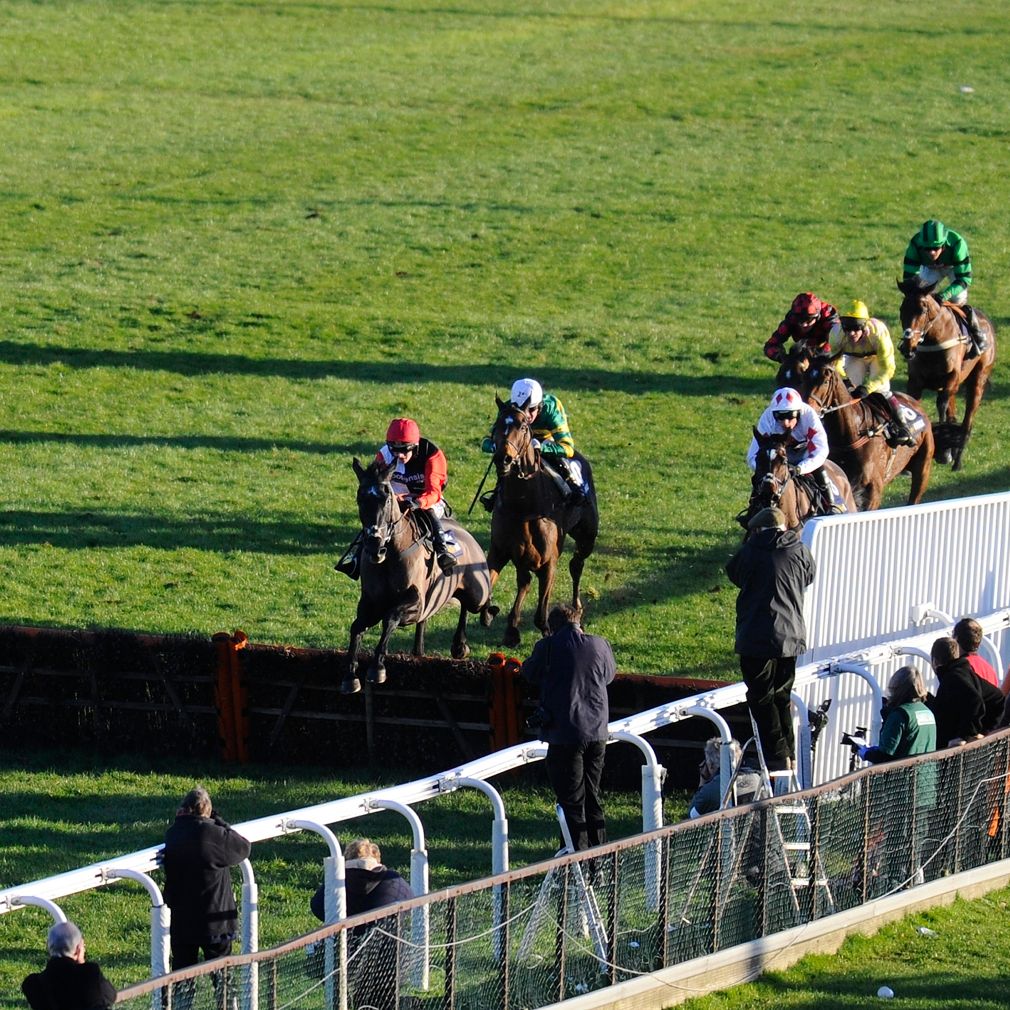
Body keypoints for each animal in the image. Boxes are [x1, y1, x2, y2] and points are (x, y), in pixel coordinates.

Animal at [342, 457, 496, 694]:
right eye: (360, 498)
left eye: (387, 498)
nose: (374, 545)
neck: (391, 556)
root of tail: (467, 534)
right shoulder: (370, 602)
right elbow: (356, 627)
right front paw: (350, 676)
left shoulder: (415, 603)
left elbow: (390, 618)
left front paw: (377, 668)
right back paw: (449, 646)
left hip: (476, 591)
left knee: (479, 601)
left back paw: (481, 622)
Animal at [485, 397, 599, 647]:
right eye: (496, 426)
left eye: (523, 426)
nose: (503, 458)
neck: (523, 505)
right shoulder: (500, 551)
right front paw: (498, 621)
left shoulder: (549, 561)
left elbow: (540, 613)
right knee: (526, 581)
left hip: (587, 536)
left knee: (576, 564)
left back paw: (576, 607)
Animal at [776, 346, 934, 511]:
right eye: (804, 378)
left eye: (825, 381)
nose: (806, 410)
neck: (850, 434)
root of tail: (915, 403)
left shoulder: (873, 490)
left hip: (923, 467)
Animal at [896, 278, 997, 471]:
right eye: (902, 309)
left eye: (922, 310)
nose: (907, 347)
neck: (933, 340)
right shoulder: (915, 381)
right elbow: (913, 404)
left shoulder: (951, 377)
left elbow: (941, 404)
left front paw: (943, 452)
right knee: (953, 412)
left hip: (977, 380)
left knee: (967, 422)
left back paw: (957, 460)